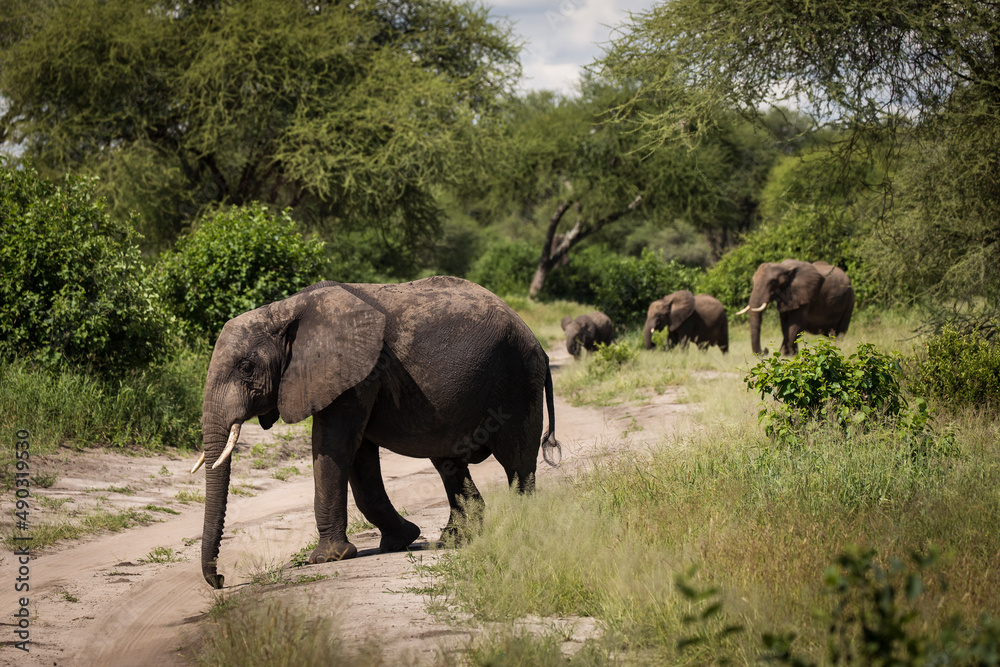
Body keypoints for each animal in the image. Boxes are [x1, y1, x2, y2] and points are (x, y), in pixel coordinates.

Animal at [190, 276, 560, 589]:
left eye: (246, 367)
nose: (220, 580)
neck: (282, 310)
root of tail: (538, 342)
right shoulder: (352, 376)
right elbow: (357, 456)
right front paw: (401, 540)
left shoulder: (355, 373)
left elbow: (335, 446)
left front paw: (327, 559)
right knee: (449, 464)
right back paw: (454, 539)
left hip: (517, 382)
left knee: (517, 463)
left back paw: (520, 526)